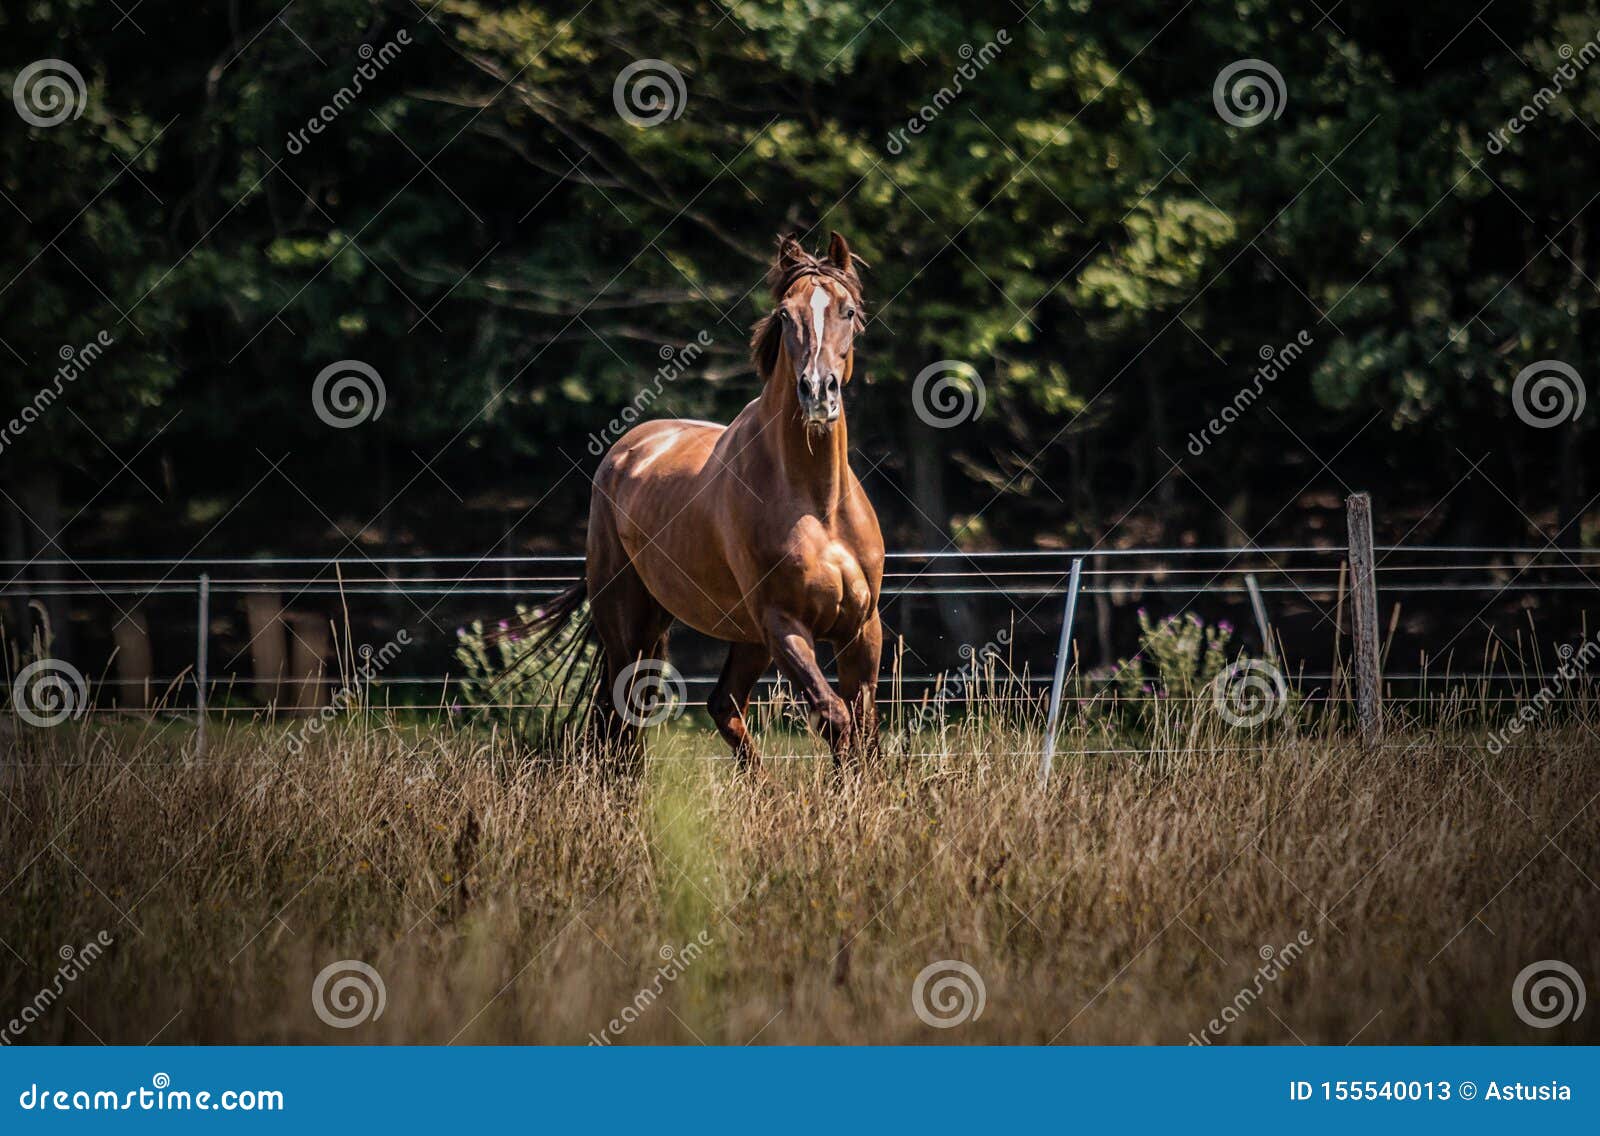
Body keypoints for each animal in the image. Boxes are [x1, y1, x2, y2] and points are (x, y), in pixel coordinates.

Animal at [511, 232, 884, 771]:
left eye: (848, 310)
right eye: (785, 314)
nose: (817, 392)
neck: (819, 504)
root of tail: (626, 452)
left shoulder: (861, 628)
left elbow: (864, 734)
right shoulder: (783, 625)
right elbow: (835, 719)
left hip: (740, 638)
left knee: (720, 705)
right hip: (631, 623)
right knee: (623, 718)